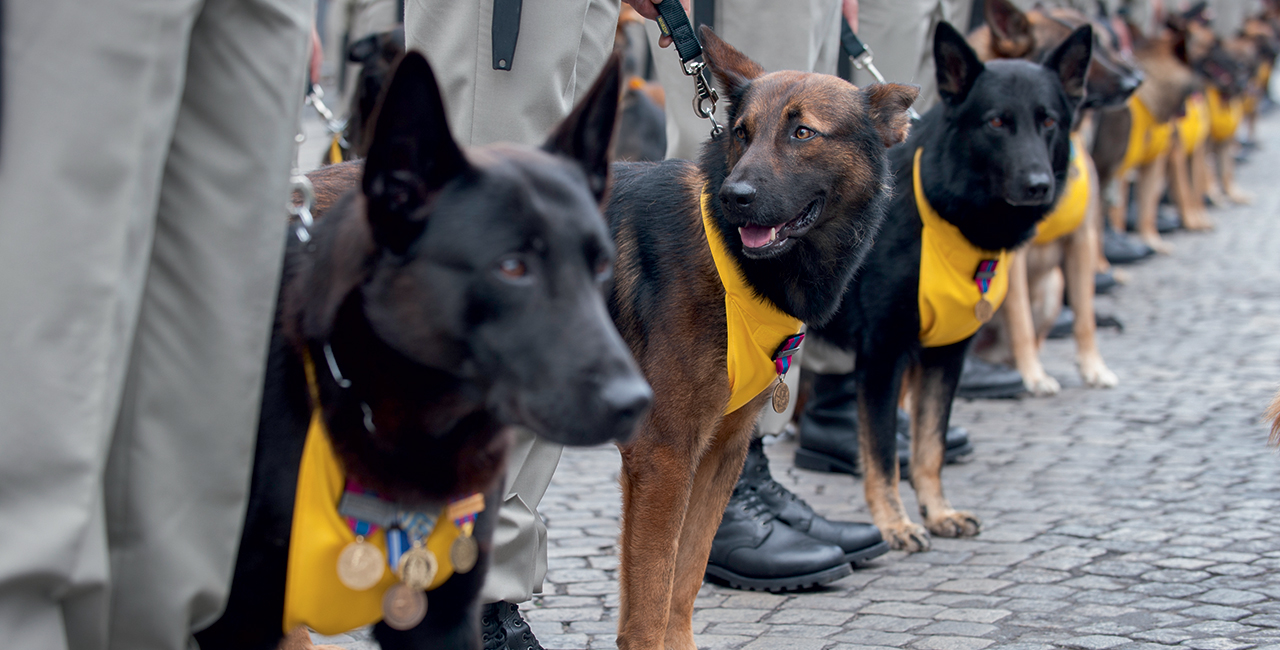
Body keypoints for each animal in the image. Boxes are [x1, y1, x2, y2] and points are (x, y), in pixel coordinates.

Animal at [601, 27, 916, 647]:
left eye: (803, 133)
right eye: (742, 133)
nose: (735, 196)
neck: (725, 254)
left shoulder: (718, 454)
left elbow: (682, 584)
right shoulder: (664, 456)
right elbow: (650, 604)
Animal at [808, 22, 1090, 552]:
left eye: (1048, 121)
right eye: (997, 123)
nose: (1039, 185)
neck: (940, 213)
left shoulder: (945, 357)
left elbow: (929, 448)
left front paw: (938, 512)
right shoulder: (883, 355)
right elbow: (883, 456)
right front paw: (894, 523)